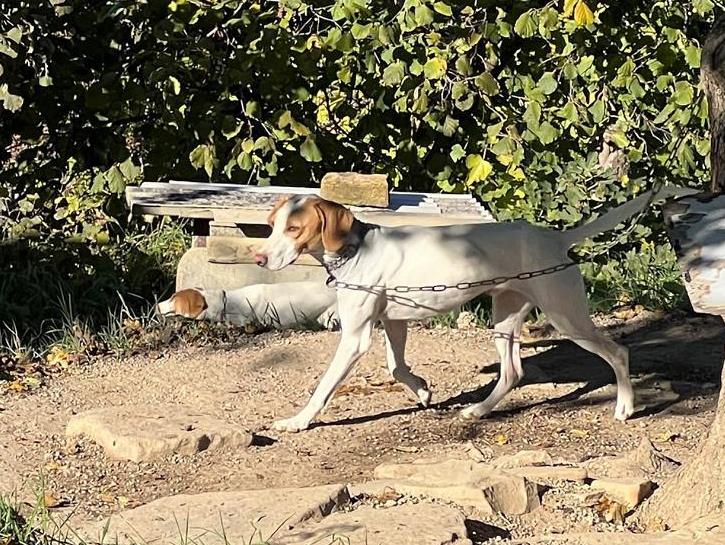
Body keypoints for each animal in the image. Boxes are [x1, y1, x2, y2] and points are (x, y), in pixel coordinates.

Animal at [252, 185, 692, 432]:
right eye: (271, 226)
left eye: (294, 229)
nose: (259, 258)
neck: (356, 248)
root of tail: (554, 238)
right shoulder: (393, 322)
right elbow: (396, 367)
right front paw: (423, 391)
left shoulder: (356, 337)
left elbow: (324, 387)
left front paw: (298, 421)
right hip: (505, 319)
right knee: (512, 372)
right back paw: (477, 411)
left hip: (566, 316)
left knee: (618, 351)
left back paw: (625, 407)